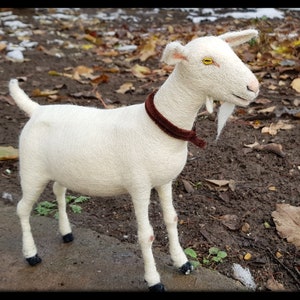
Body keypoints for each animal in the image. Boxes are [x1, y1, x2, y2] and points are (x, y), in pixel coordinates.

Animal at [8, 28, 258, 290]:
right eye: (207, 61)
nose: (253, 86)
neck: (157, 127)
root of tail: (37, 110)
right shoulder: (139, 185)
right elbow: (146, 235)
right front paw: (154, 280)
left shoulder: (165, 181)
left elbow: (172, 219)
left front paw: (182, 263)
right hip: (32, 170)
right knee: (23, 208)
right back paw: (31, 254)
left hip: (61, 169)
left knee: (58, 190)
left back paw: (66, 234)